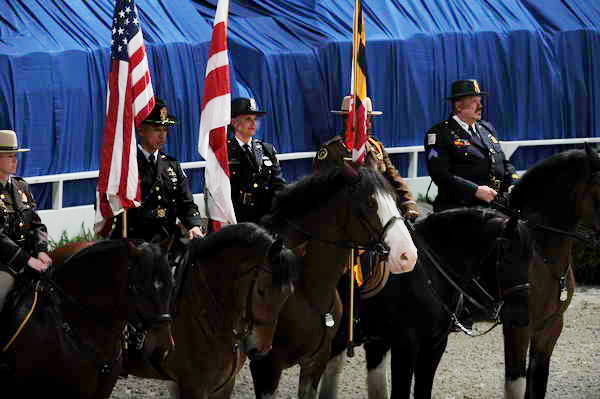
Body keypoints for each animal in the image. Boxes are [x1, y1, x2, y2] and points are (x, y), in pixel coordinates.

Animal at [248, 165, 418, 399]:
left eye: (395, 200)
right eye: (370, 203)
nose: (407, 256)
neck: (306, 293)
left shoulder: (315, 361)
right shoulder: (266, 367)